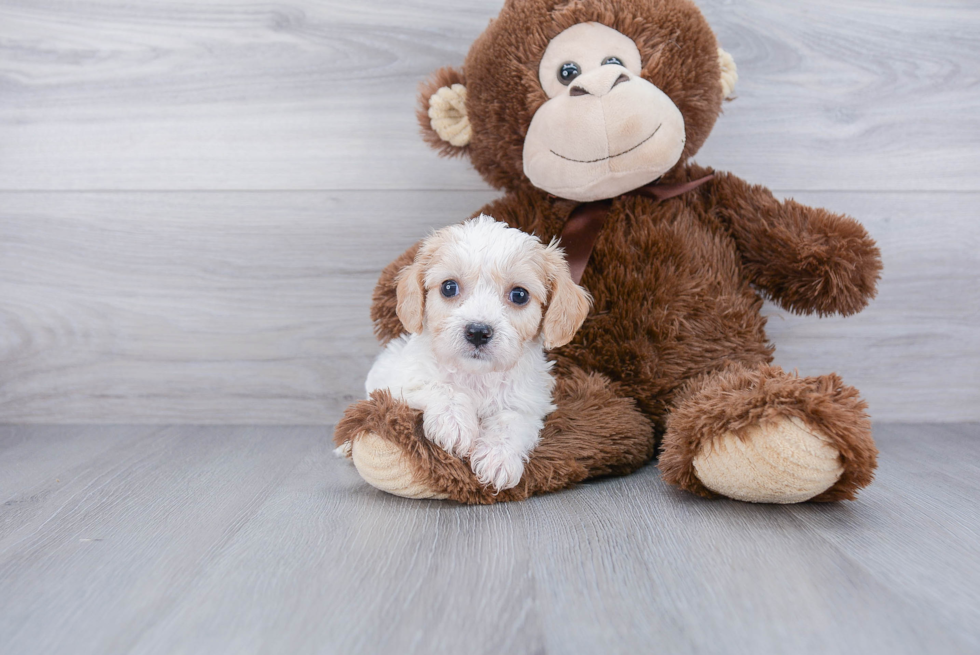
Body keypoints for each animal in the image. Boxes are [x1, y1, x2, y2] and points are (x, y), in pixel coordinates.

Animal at [362, 217, 584, 492]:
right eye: (449, 287)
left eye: (519, 294)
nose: (478, 332)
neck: (477, 376)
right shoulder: (401, 383)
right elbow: (442, 387)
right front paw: (455, 425)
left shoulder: (529, 403)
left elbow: (510, 420)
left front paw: (498, 457)